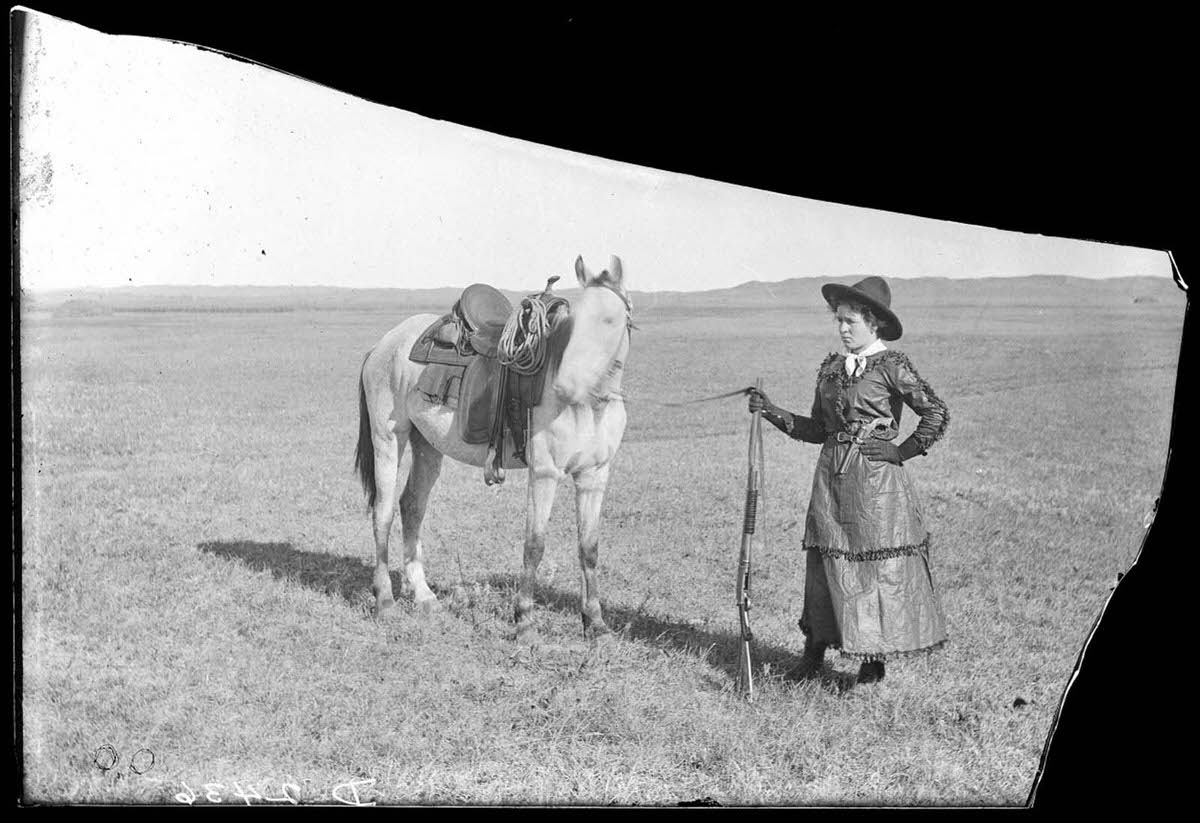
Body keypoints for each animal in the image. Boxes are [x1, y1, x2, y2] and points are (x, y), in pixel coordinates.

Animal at [352, 257, 633, 638]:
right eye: (573, 322)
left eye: (608, 321)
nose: (565, 386)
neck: (591, 406)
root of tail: (384, 345)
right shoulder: (544, 474)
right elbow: (534, 545)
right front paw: (524, 621)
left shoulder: (594, 477)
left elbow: (589, 548)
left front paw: (596, 623)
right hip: (388, 439)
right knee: (382, 513)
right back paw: (384, 601)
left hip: (427, 445)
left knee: (411, 506)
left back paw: (424, 596)